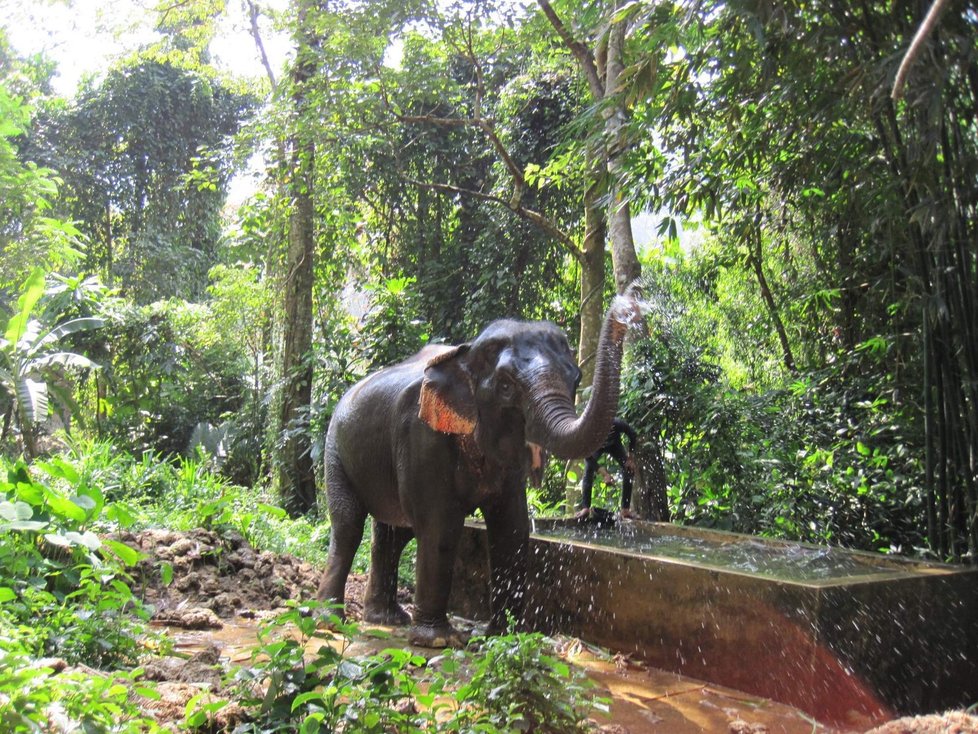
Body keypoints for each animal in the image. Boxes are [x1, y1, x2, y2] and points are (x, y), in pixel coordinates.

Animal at [316, 294, 644, 648]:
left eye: (576, 379)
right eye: (505, 387)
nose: (628, 307)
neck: (466, 353)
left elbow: (512, 526)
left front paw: (506, 636)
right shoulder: (421, 435)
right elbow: (441, 526)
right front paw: (439, 641)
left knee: (393, 533)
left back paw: (385, 619)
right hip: (335, 450)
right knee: (349, 526)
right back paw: (330, 620)